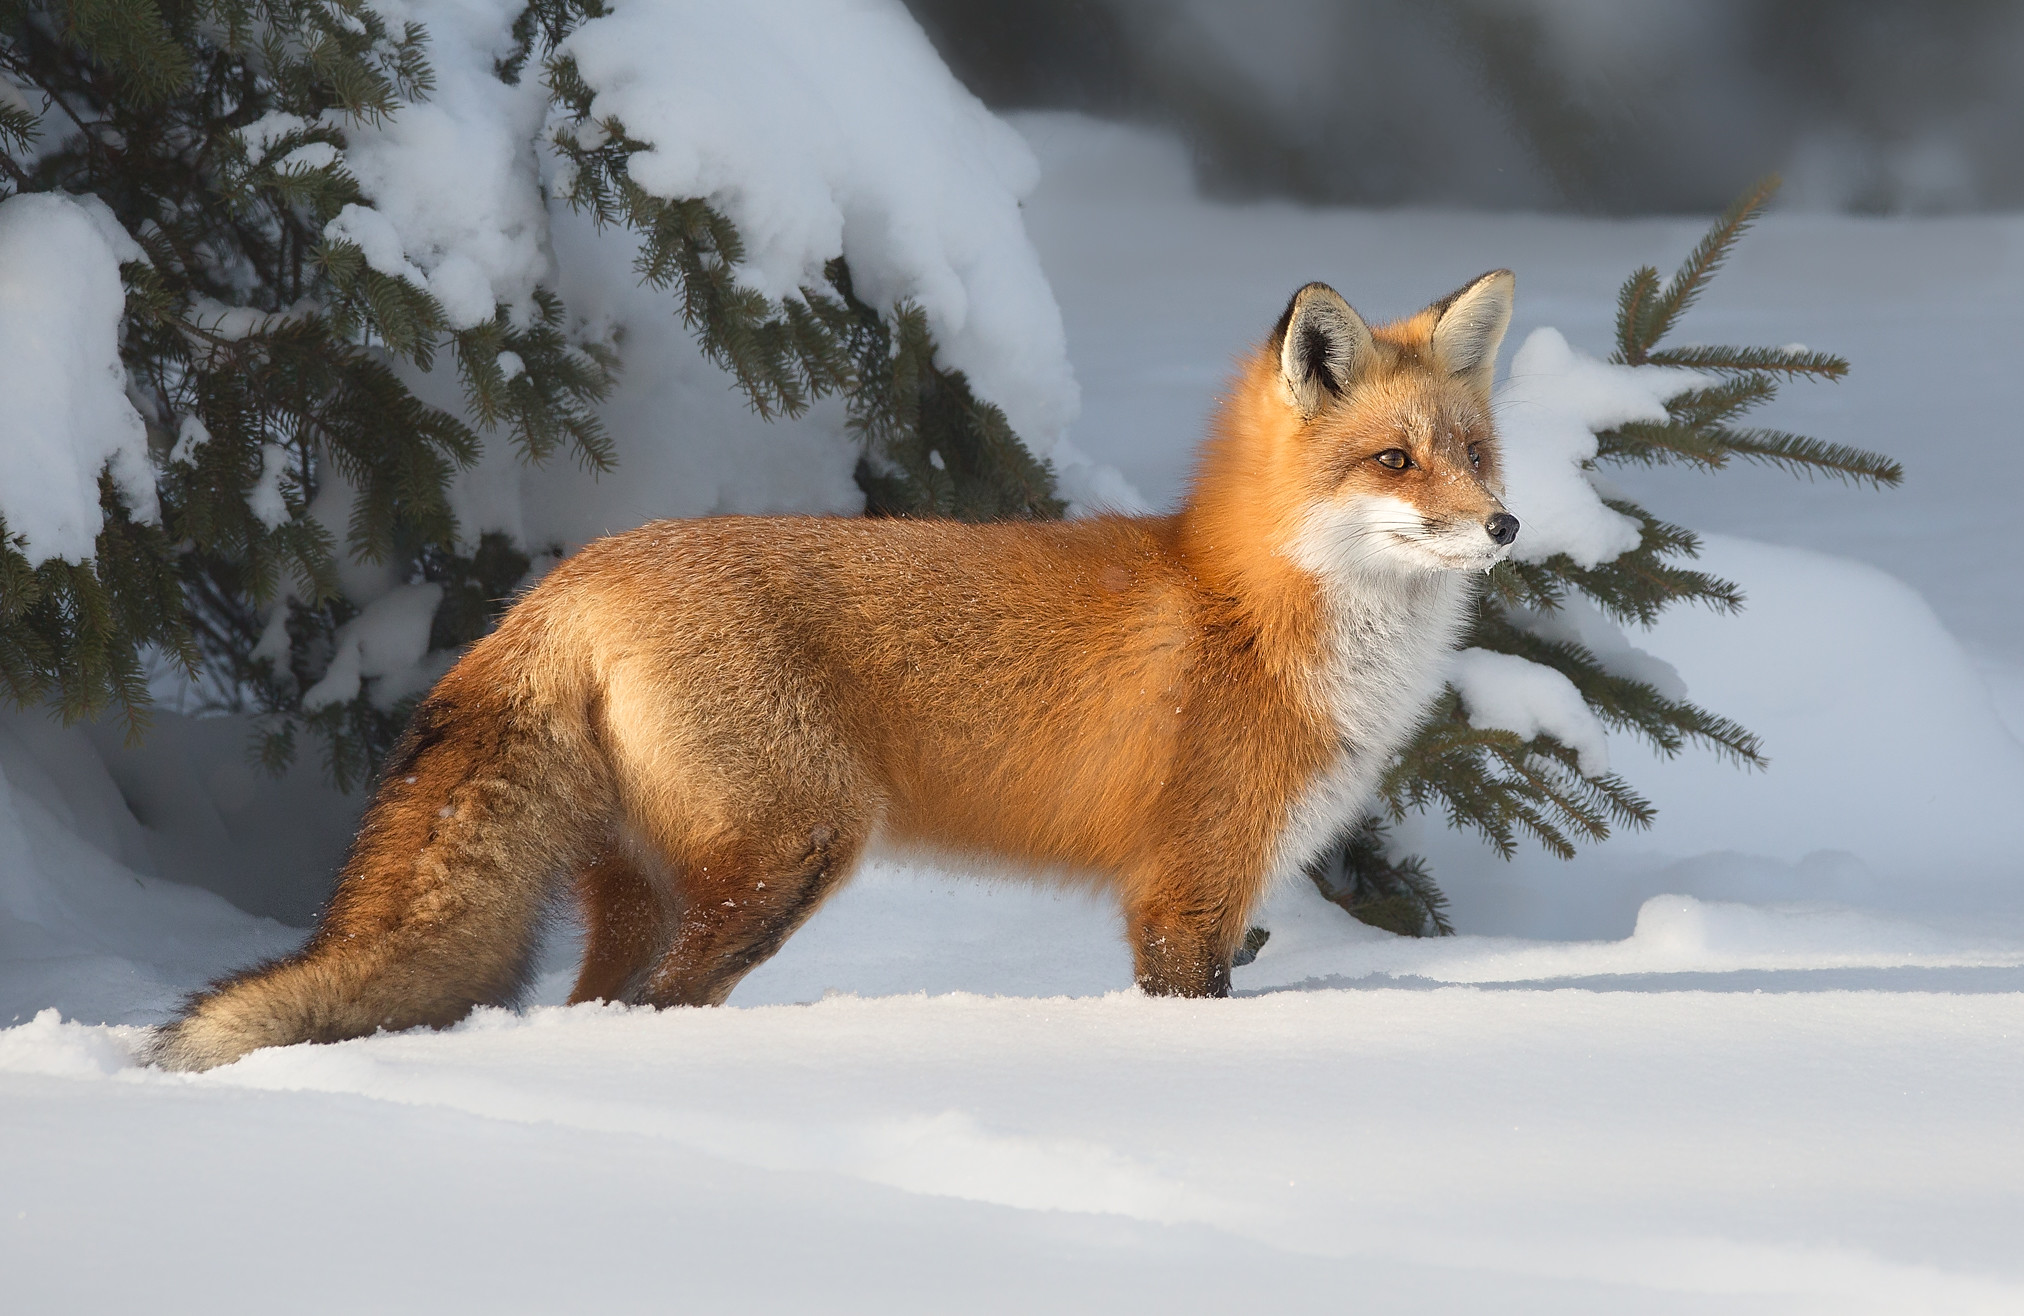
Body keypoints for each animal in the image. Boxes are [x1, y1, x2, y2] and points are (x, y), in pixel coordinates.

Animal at [149, 267, 1522, 1068]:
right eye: (1392, 461)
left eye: (1471, 453)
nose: (1507, 525)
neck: (1252, 609)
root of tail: (568, 579)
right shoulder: (1186, 892)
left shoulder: (1211, 897)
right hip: (787, 855)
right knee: (660, 1005)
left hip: (652, 885)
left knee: (597, 1006)